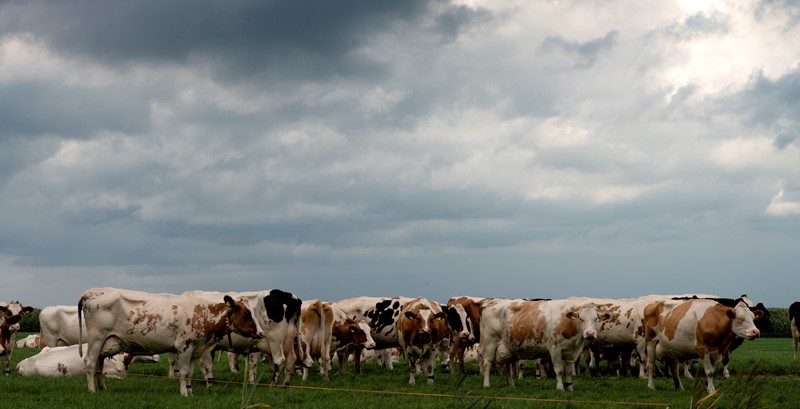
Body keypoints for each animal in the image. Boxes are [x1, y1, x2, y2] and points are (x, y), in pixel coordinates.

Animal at [77, 286, 260, 396]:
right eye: (247, 313)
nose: (260, 332)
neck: (203, 314)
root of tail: (90, 292)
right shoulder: (184, 347)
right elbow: (184, 372)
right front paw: (184, 393)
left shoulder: (195, 349)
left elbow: (190, 373)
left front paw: (190, 392)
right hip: (96, 337)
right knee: (90, 361)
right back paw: (92, 390)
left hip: (105, 342)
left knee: (99, 364)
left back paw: (103, 388)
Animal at [476, 296, 608, 388]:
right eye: (581, 318)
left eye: (596, 318)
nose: (590, 333)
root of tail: (492, 302)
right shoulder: (554, 348)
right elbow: (559, 370)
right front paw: (560, 388)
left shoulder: (571, 352)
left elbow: (569, 372)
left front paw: (570, 388)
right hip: (490, 342)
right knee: (487, 363)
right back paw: (486, 385)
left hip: (508, 347)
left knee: (507, 366)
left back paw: (511, 385)